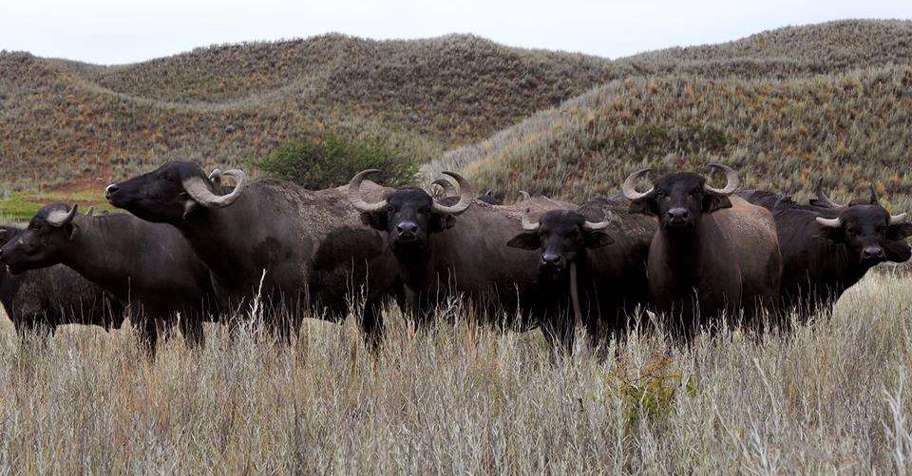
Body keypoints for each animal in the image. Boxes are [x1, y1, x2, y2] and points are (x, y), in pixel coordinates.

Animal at [622, 164, 783, 340]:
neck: (685, 268)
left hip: (767, 301)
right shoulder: (668, 312)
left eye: (696, 191)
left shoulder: (722, 310)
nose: (678, 215)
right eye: (660, 193)